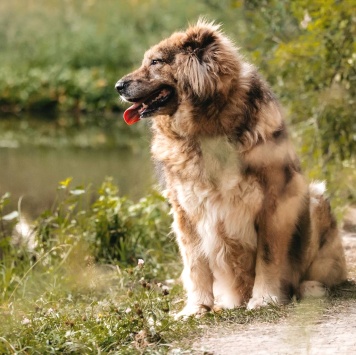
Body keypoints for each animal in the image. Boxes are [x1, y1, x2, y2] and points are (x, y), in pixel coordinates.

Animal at [116, 20, 348, 318]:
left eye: (155, 62)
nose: (118, 86)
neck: (206, 128)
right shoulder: (186, 210)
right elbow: (196, 265)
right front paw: (196, 307)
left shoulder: (274, 203)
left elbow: (268, 257)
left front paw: (264, 298)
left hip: (315, 200)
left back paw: (308, 289)